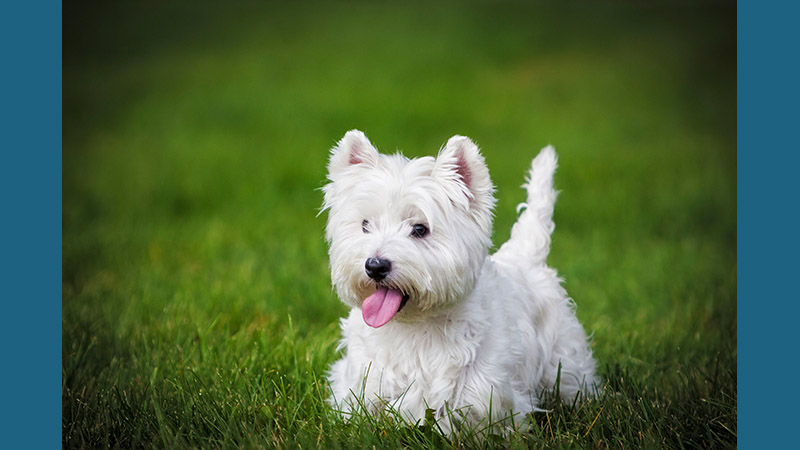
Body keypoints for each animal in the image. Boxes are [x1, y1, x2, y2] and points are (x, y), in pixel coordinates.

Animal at [322, 129, 596, 432]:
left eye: (420, 229)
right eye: (365, 225)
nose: (375, 266)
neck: (413, 328)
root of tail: (526, 255)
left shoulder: (487, 396)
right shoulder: (363, 384)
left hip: (564, 357)